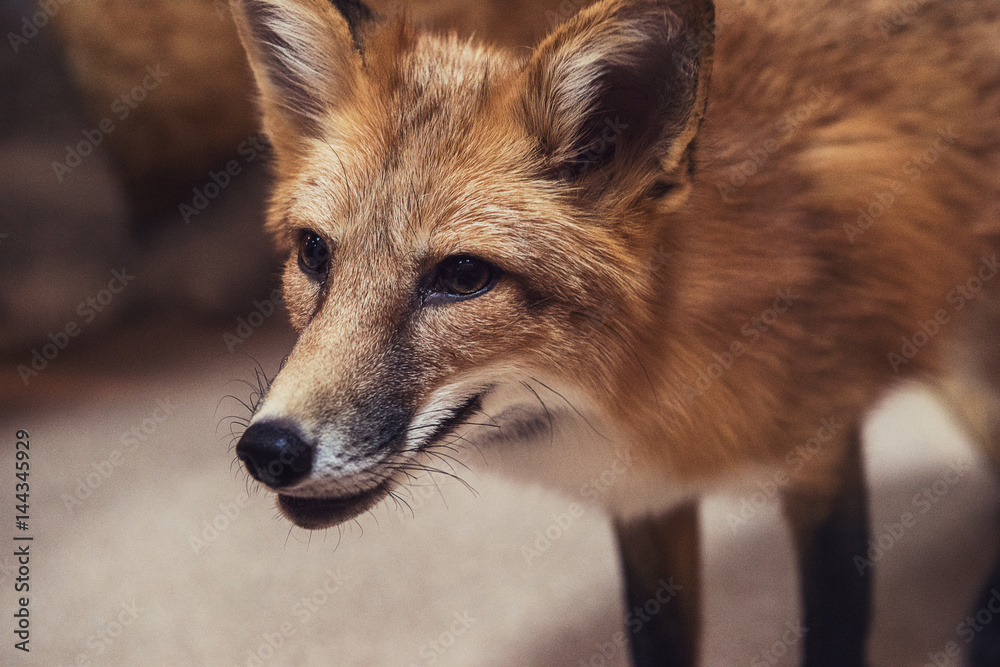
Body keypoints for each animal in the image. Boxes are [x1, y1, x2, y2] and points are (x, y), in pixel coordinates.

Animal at [227, 0, 1000, 664]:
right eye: (314, 254)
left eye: (464, 275)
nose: (269, 449)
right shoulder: (643, 497)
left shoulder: (824, 454)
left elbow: (835, 628)